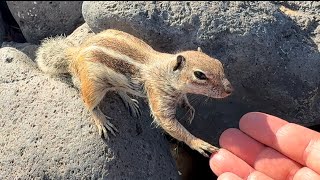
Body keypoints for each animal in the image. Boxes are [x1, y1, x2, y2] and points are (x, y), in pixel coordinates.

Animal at [35, 28, 234, 157]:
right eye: (199, 75)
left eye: (218, 63)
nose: (230, 90)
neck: (166, 73)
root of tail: (75, 54)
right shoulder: (158, 96)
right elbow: (168, 124)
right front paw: (198, 143)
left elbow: (185, 101)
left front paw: (189, 108)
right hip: (92, 85)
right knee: (89, 102)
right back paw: (101, 120)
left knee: (119, 89)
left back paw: (129, 101)